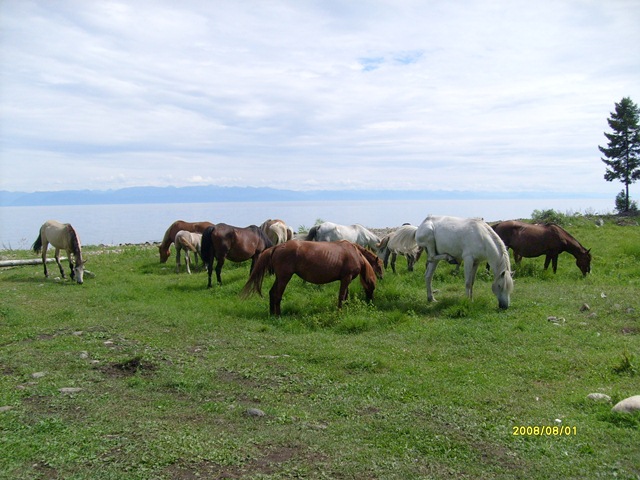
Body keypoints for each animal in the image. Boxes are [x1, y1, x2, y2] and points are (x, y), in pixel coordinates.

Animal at [240, 239, 380, 316]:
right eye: (372, 286)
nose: (371, 302)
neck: (354, 253)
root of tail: (277, 247)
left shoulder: (346, 280)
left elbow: (345, 296)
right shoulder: (346, 278)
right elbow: (341, 296)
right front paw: (339, 312)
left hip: (279, 278)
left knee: (272, 293)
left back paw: (272, 314)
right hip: (284, 278)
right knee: (278, 295)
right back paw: (279, 315)